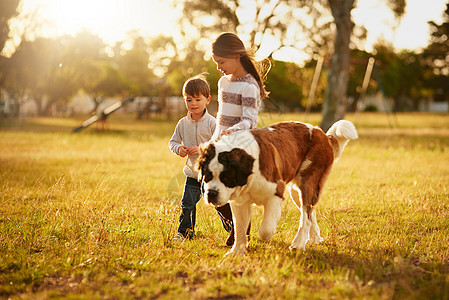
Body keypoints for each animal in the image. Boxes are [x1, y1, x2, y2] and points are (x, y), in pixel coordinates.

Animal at [198, 119, 358, 255]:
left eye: (226, 178)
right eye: (207, 176)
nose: (211, 193)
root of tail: (321, 133)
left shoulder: (275, 194)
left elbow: (265, 229)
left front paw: (264, 236)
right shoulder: (239, 202)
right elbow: (239, 227)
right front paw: (237, 251)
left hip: (308, 182)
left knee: (306, 215)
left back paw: (298, 244)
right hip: (296, 192)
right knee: (310, 211)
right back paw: (314, 238)